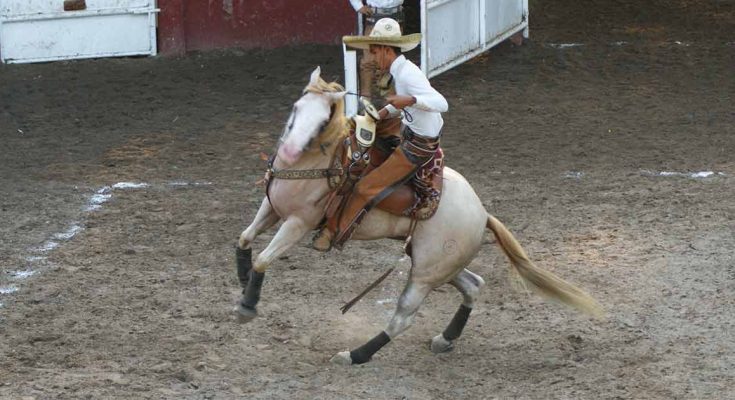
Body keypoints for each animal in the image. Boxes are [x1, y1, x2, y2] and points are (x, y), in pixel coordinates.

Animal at [236, 66, 604, 366]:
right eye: (297, 108)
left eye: (324, 119)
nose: (288, 152)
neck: (319, 165)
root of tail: (482, 213)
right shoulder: (272, 208)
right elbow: (244, 238)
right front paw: (242, 280)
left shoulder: (298, 224)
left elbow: (264, 259)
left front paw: (247, 306)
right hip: (435, 263)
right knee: (473, 285)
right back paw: (445, 339)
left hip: (426, 273)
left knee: (403, 319)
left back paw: (355, 355)